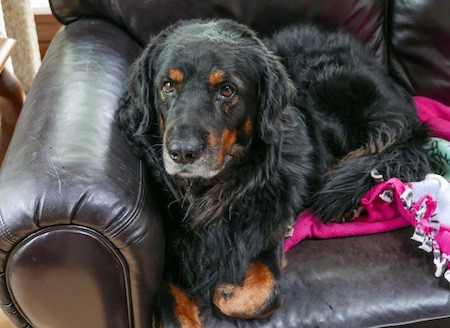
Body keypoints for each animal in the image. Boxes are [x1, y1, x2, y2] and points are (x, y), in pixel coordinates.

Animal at [118, 19, 430, 326]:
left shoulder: (266, 229)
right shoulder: (169, 267)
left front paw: (226, 292)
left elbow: (266, 293)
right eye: (168, 86)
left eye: (227, 90)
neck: (213, 189)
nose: (182, 152)